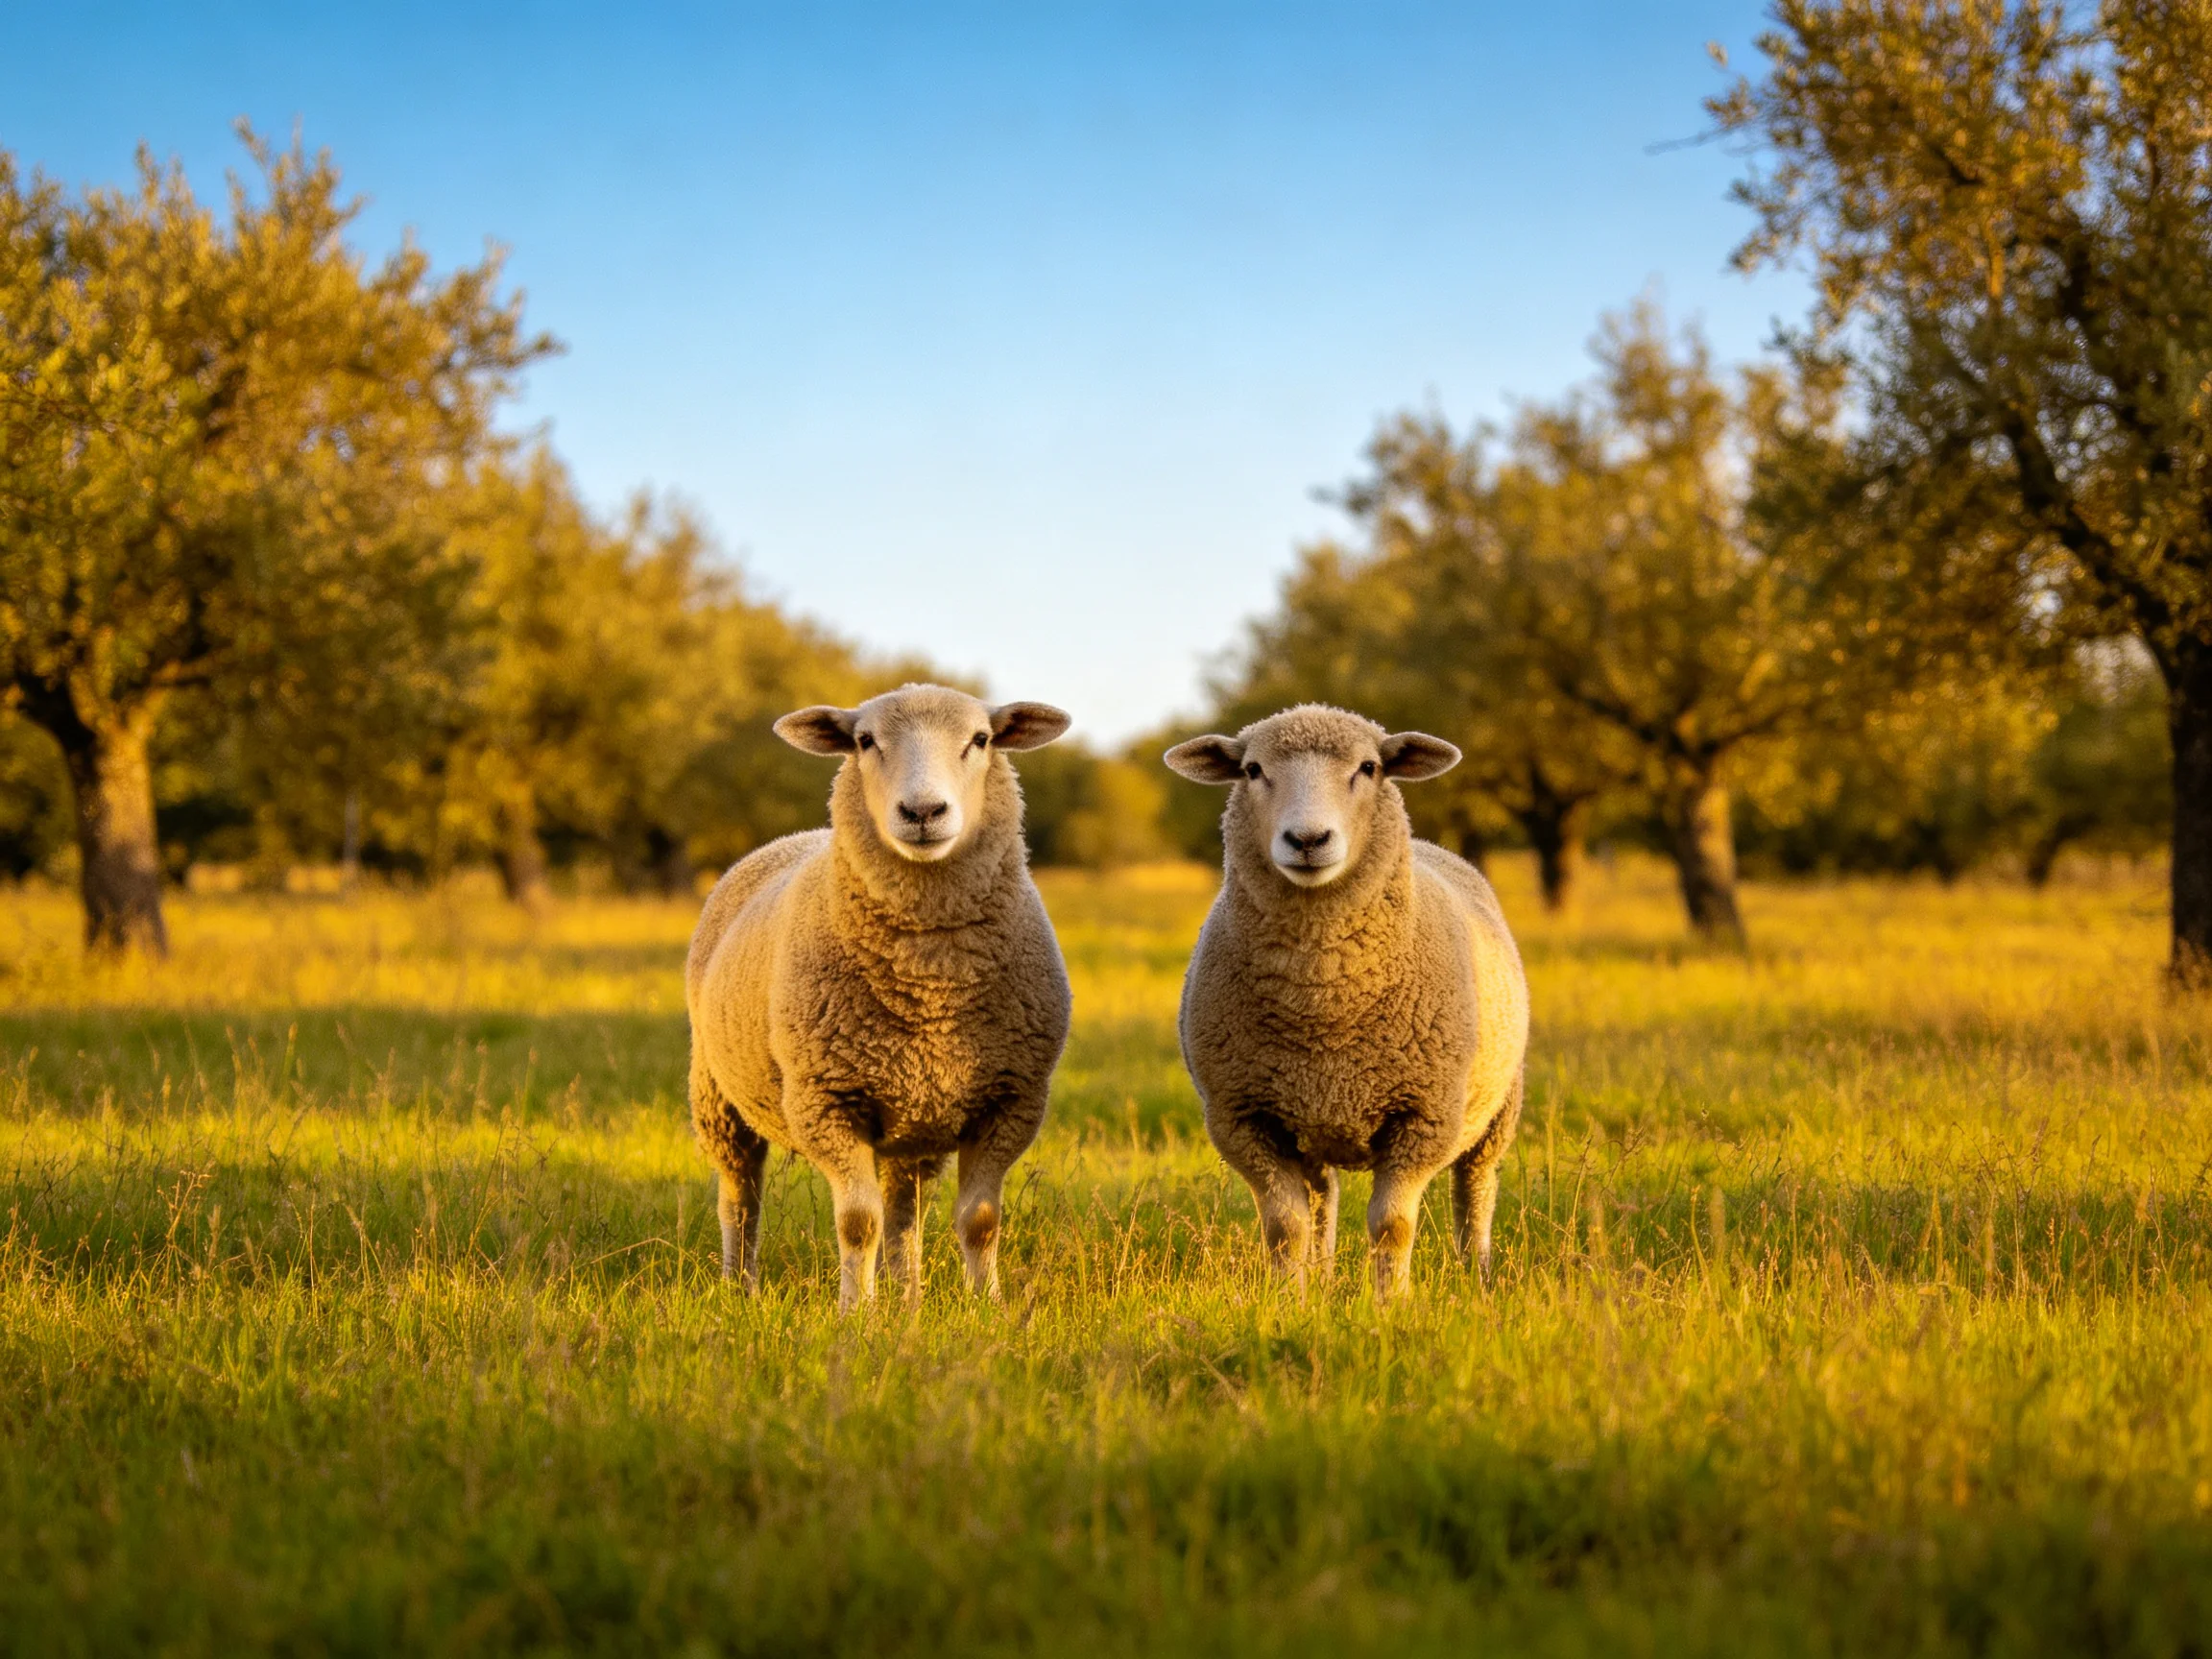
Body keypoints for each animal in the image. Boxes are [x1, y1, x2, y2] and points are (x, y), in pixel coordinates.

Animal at [685, 683, 1073, 1310]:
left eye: (981, 739)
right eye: (865, 741)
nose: (922, 812)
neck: (930, 985)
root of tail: (795, 837)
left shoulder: (1011, 1100)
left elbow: (980, 1221)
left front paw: (988, 1309)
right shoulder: (825, 1100)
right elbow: (857, 1222)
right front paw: (855, 1314)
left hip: (914, 1121)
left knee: (903, 1212)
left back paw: (906, 1299)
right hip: (716, 1094)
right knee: (740, 1197)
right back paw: (740, 1288)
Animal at [1165, 704, 1530, 1300]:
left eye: (1369, 767)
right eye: (1252, 770)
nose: (1307, 838)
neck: (1323, 1002)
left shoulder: (1424, 1116)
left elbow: (1392, 1225)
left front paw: (1390, 1304)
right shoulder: (1243, 1118)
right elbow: (1285, 1226)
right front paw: (1289, 1302)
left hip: (1498, 1110)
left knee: (1474, 1192)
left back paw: (1477, 1277)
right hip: (1308, 1121)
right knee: (1322, 1204)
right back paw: (1323, 1279)